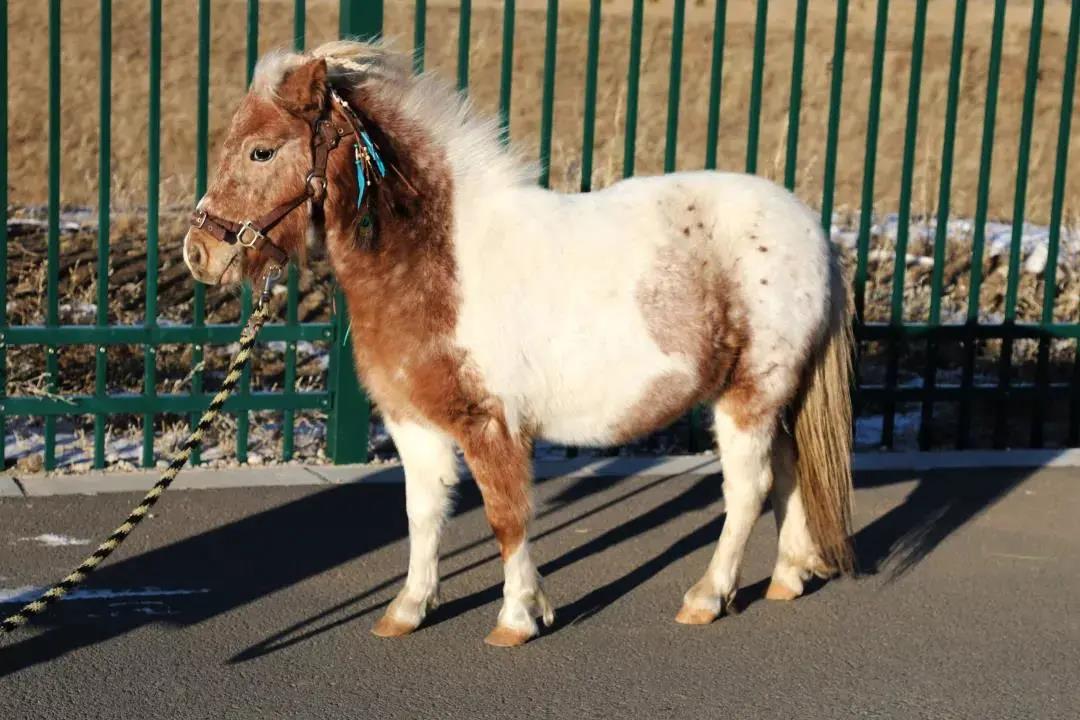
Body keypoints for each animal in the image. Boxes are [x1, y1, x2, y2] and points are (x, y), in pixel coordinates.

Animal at [187, 40, 859, 647]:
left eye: (261, 151)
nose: (200, 254)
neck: (437, 262)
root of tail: (813, 231)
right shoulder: (414, 423)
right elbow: (422, 515)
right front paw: (408, 609)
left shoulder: (491, 424)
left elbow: (506, 518)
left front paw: (517, 618)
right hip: (779, 400)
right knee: (791, 470)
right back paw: (788, 577)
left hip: (748, 397)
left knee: (748, 490)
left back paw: (707, 597)